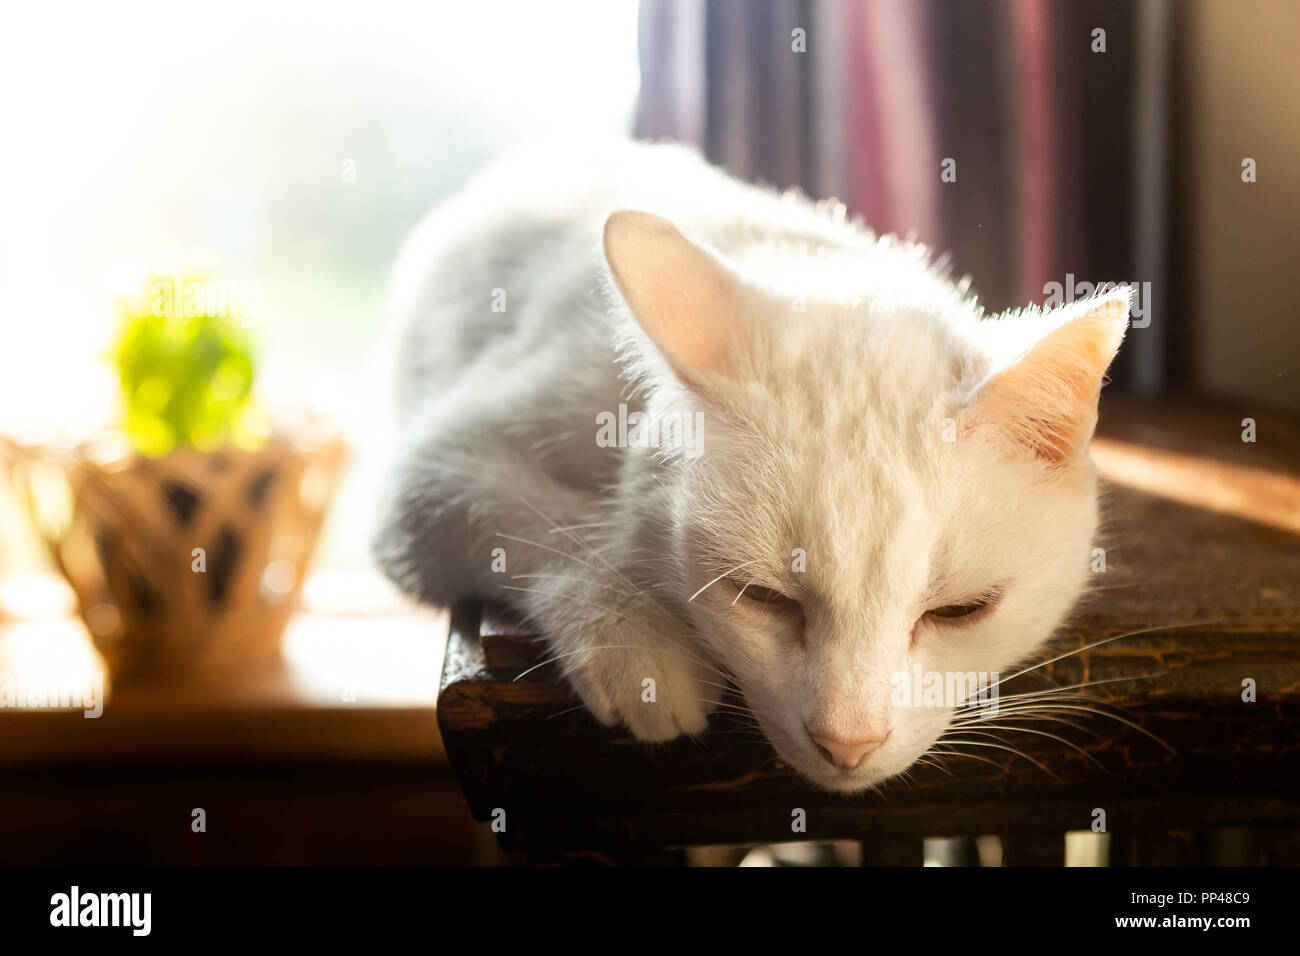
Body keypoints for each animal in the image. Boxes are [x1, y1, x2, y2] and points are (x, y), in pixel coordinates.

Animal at [377, 136, 1128, 790]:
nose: (847, 743)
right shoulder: (432, 468)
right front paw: (638, 642)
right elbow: (547, 524)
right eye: (762, 597)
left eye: (962, 611)